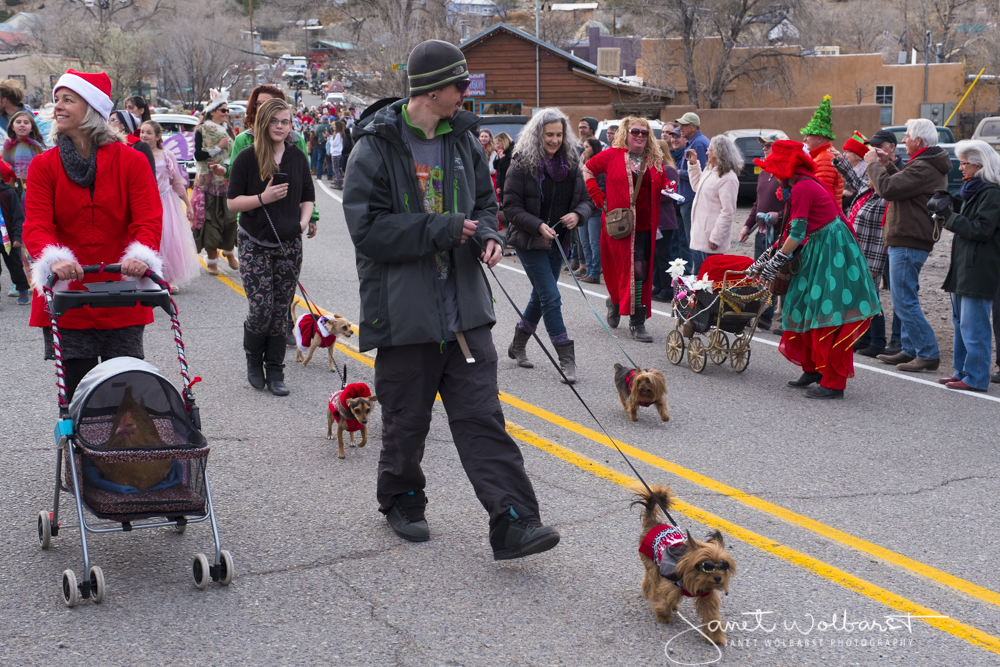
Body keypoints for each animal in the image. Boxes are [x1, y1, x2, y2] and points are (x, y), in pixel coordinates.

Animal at [632, 486, 736, 648]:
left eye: (723, 566)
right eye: (707, 566)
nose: (718, 578)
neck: (695, 578)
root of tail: (654, 523)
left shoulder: (707, 596)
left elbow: (712, 616)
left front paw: (715, 636)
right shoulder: (672, 586)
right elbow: (664, 599)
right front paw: (662, 614)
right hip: (653, 566)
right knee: (651, 582)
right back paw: (651, 595)